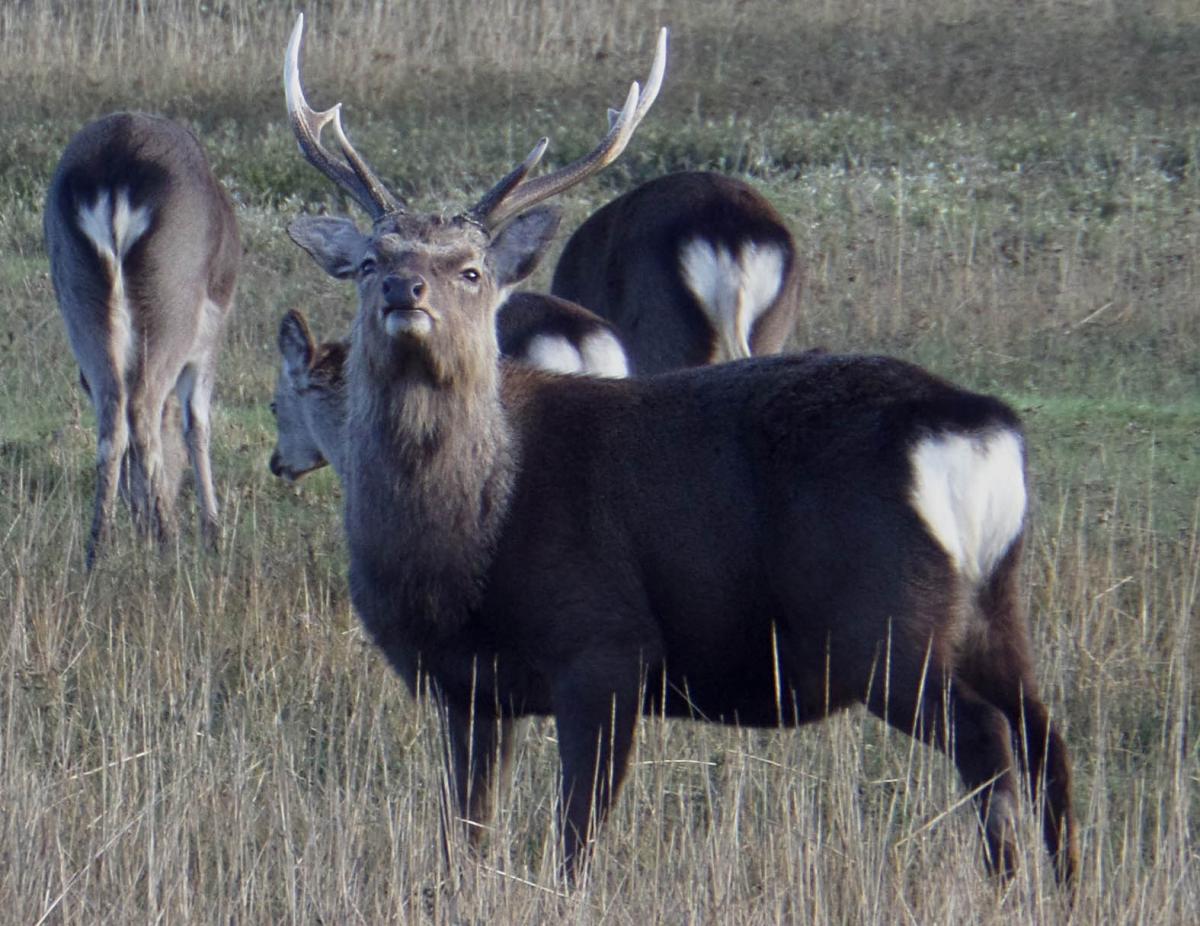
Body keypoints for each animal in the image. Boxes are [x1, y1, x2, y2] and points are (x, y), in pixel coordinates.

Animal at [45, 108, 240, 563]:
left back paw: (98, 548)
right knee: (143, 406)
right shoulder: (210, 338)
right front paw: (213, 532)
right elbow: (197, 423)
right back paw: (170, 541)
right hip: (172, 300)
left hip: (78, 295)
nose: (141, 523)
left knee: (112, 414)